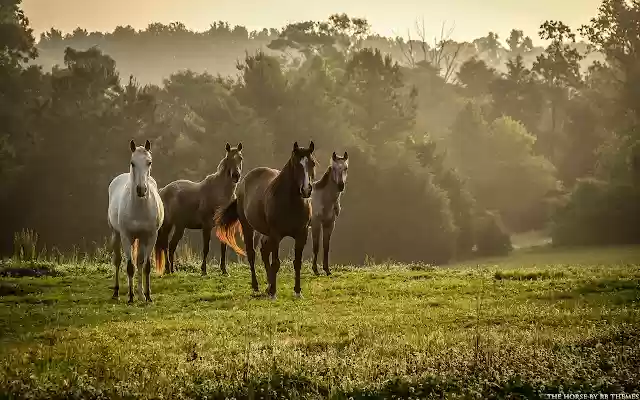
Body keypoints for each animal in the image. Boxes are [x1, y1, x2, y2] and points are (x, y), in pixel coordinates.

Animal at [108, 139, 164, 303]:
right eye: (132, 163)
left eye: (149, 162)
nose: (141, 190)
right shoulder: (126, 237)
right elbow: (129, 267)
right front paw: (131, 297)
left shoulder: (151, 237)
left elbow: (146, 266)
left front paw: (148, 296)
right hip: (116, 234)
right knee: (118, 261)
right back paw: (117, 292)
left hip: (141, 239)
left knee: (139, 262)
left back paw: (141, 294)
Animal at [154, 143, 243, 276]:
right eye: (229, 158)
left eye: (240, 158)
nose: (236, 176)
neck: (220, 194)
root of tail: (163, 190)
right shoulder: (206, 226)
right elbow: (206, 248)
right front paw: (204, 270)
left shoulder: (222, 225)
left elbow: (224, 248)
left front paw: (224, 270)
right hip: (168, 224)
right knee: (165, 245)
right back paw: (168, 269)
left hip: (179, 226)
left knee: (171, 246)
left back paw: (171, 270)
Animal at [215, 141, 316, 299]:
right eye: (296, 164)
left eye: (312, 163)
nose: (306, 190)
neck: (291, 203)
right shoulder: (276, 234)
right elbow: (275, 262)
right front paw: (274, 292)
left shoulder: (302, 234)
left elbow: (297, 263)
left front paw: (297, 291)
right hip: (248, 227)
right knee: (252, 254)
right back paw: (256, 286)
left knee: (263, 250)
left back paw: (268, 286)